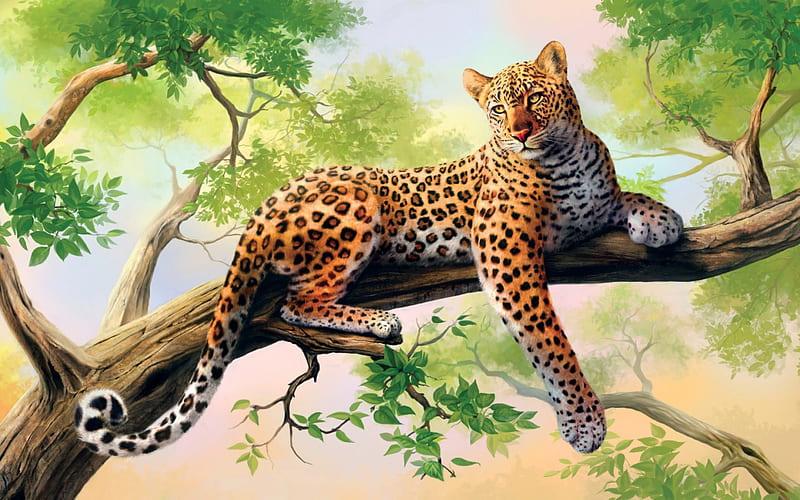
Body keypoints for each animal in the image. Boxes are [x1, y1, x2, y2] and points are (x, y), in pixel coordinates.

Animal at [75, 41, 683, 457]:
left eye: (534, 97)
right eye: (497, 109)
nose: (520, 133)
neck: (562, 158)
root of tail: (268, 202)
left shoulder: (591, 207)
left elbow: (624, 196)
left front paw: (661, 219)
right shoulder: (507, 255)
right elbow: (550, 340)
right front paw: (583, 421)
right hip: (357, 207)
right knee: (297, 300)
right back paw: (380, 322)